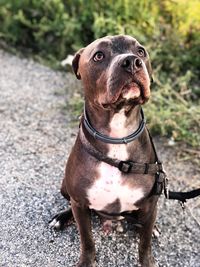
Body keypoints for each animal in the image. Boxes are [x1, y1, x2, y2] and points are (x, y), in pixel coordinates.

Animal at [50, 35, 166, 267]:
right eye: (99, 55)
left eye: (141, 51)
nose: (131, 62)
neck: (117, 136)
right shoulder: (80, 204)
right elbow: (87, 240)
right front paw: (86, 261)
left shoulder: (150, 205)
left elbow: (145, 244)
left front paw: (148, 258)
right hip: (65, 187)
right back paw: (61, 218)